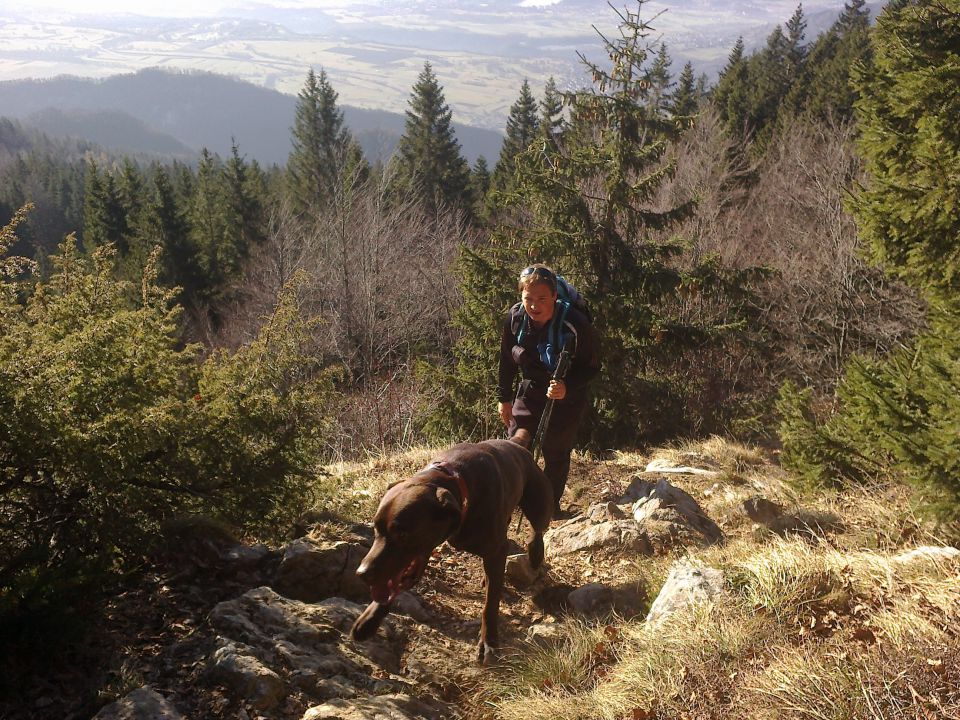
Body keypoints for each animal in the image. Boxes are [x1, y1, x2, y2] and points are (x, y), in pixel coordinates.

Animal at [348, 436, 552, 660]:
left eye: (403, 535)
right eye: (375, 528)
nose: (361, 573)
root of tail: (516, 443)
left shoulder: (496, 550)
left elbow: (490, 604)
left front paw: (489, 642)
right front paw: (370, 619)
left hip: (539, 504)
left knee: (538, 528)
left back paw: (535, 553)